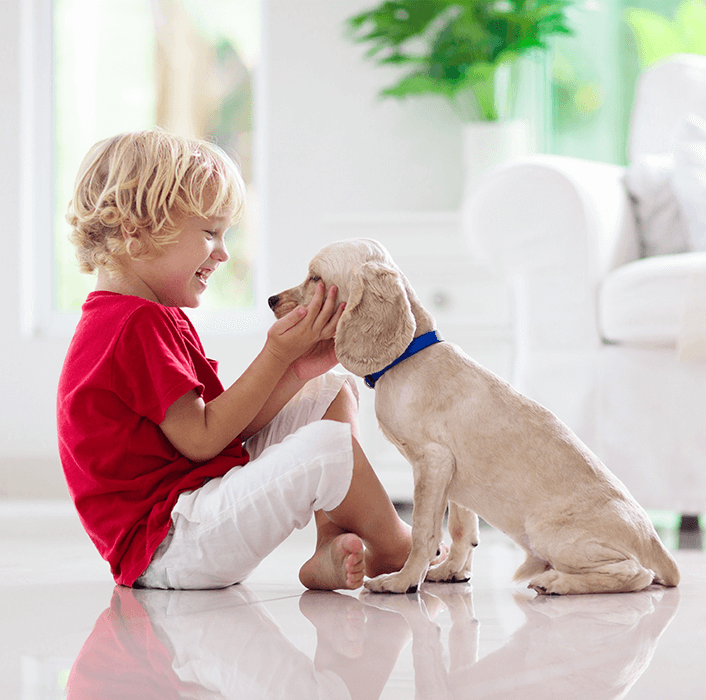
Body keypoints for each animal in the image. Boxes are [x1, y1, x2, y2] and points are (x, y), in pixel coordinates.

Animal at [268, 238, 676, 592]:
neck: (409, 356)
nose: (271, 299)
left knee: (636, 575)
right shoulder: (455, 476)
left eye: (315, 278)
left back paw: (557, 582)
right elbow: (463, 530)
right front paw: (450, 571)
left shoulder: (432, 462)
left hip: (550, 532)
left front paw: (402, 581)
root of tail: (658, 547)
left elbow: (424, 531)